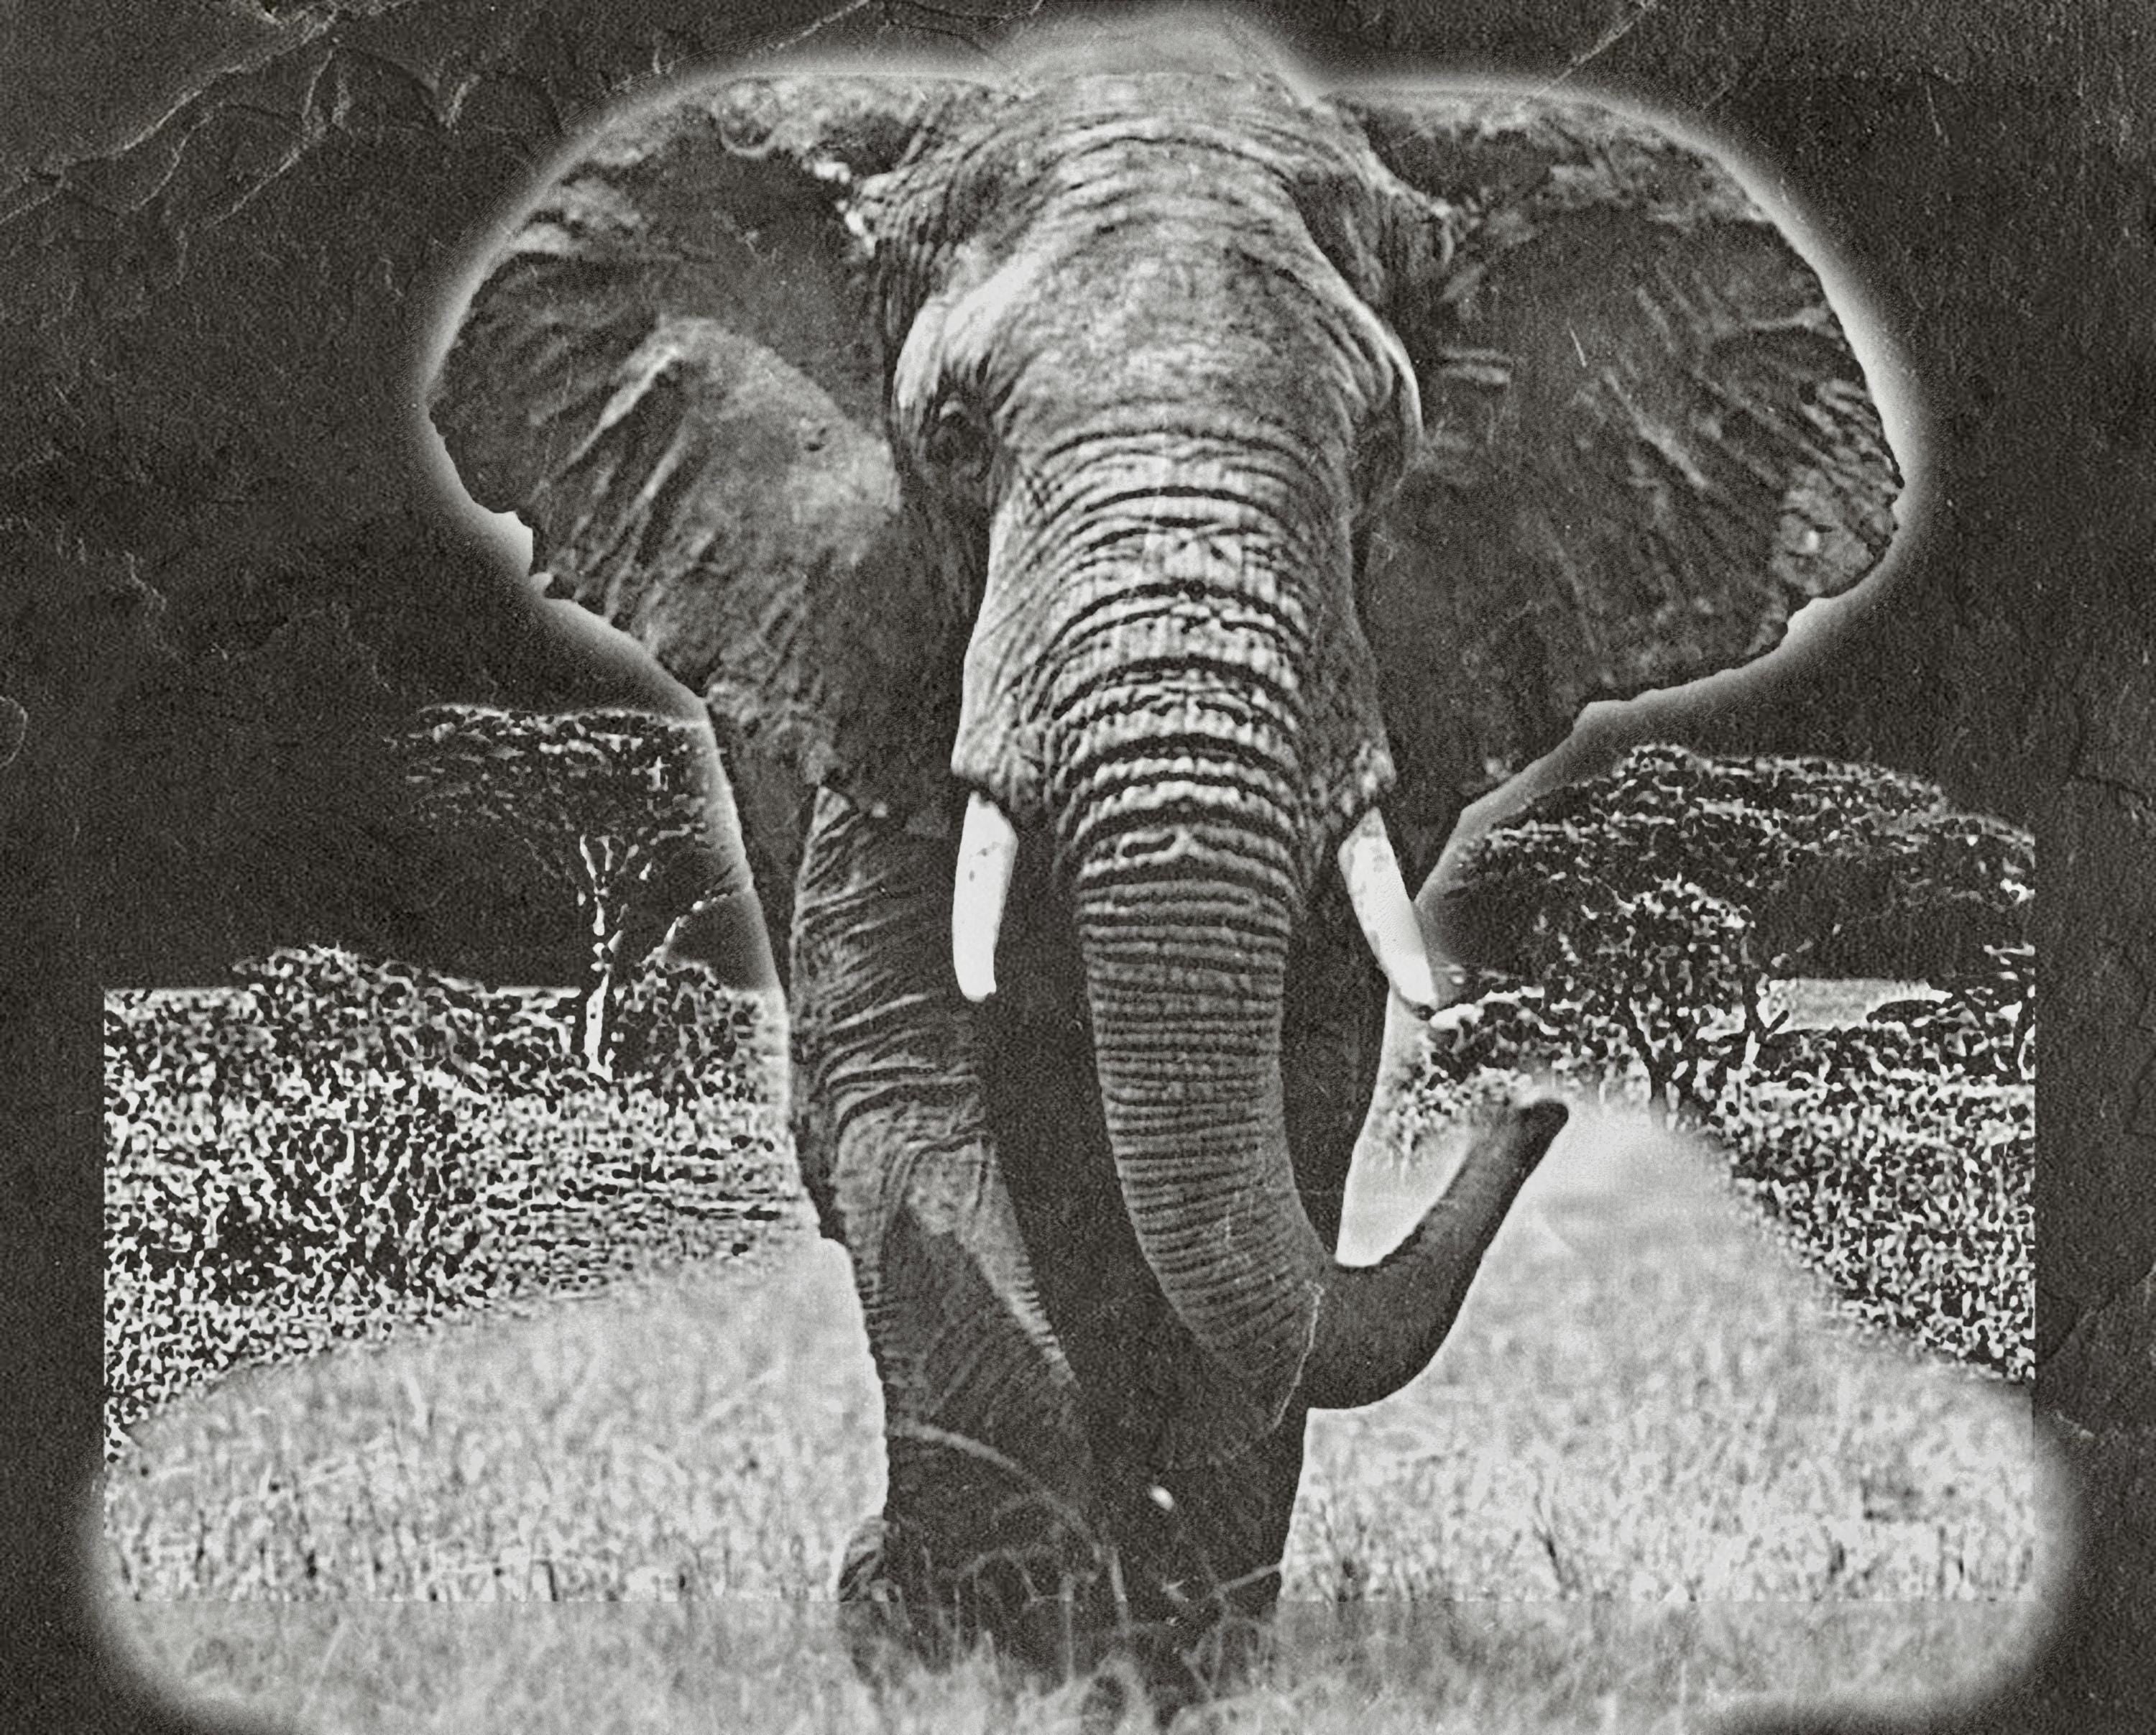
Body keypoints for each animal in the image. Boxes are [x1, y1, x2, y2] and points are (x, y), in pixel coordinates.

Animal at [428, 26, 1901, 1714]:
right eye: (949, 439)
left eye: (1385, 450)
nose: (1541, 1104)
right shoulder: (878, 646)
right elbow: (901, 1085)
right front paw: (980, 1647)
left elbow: (1298, 1106)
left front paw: (1172, 1660)